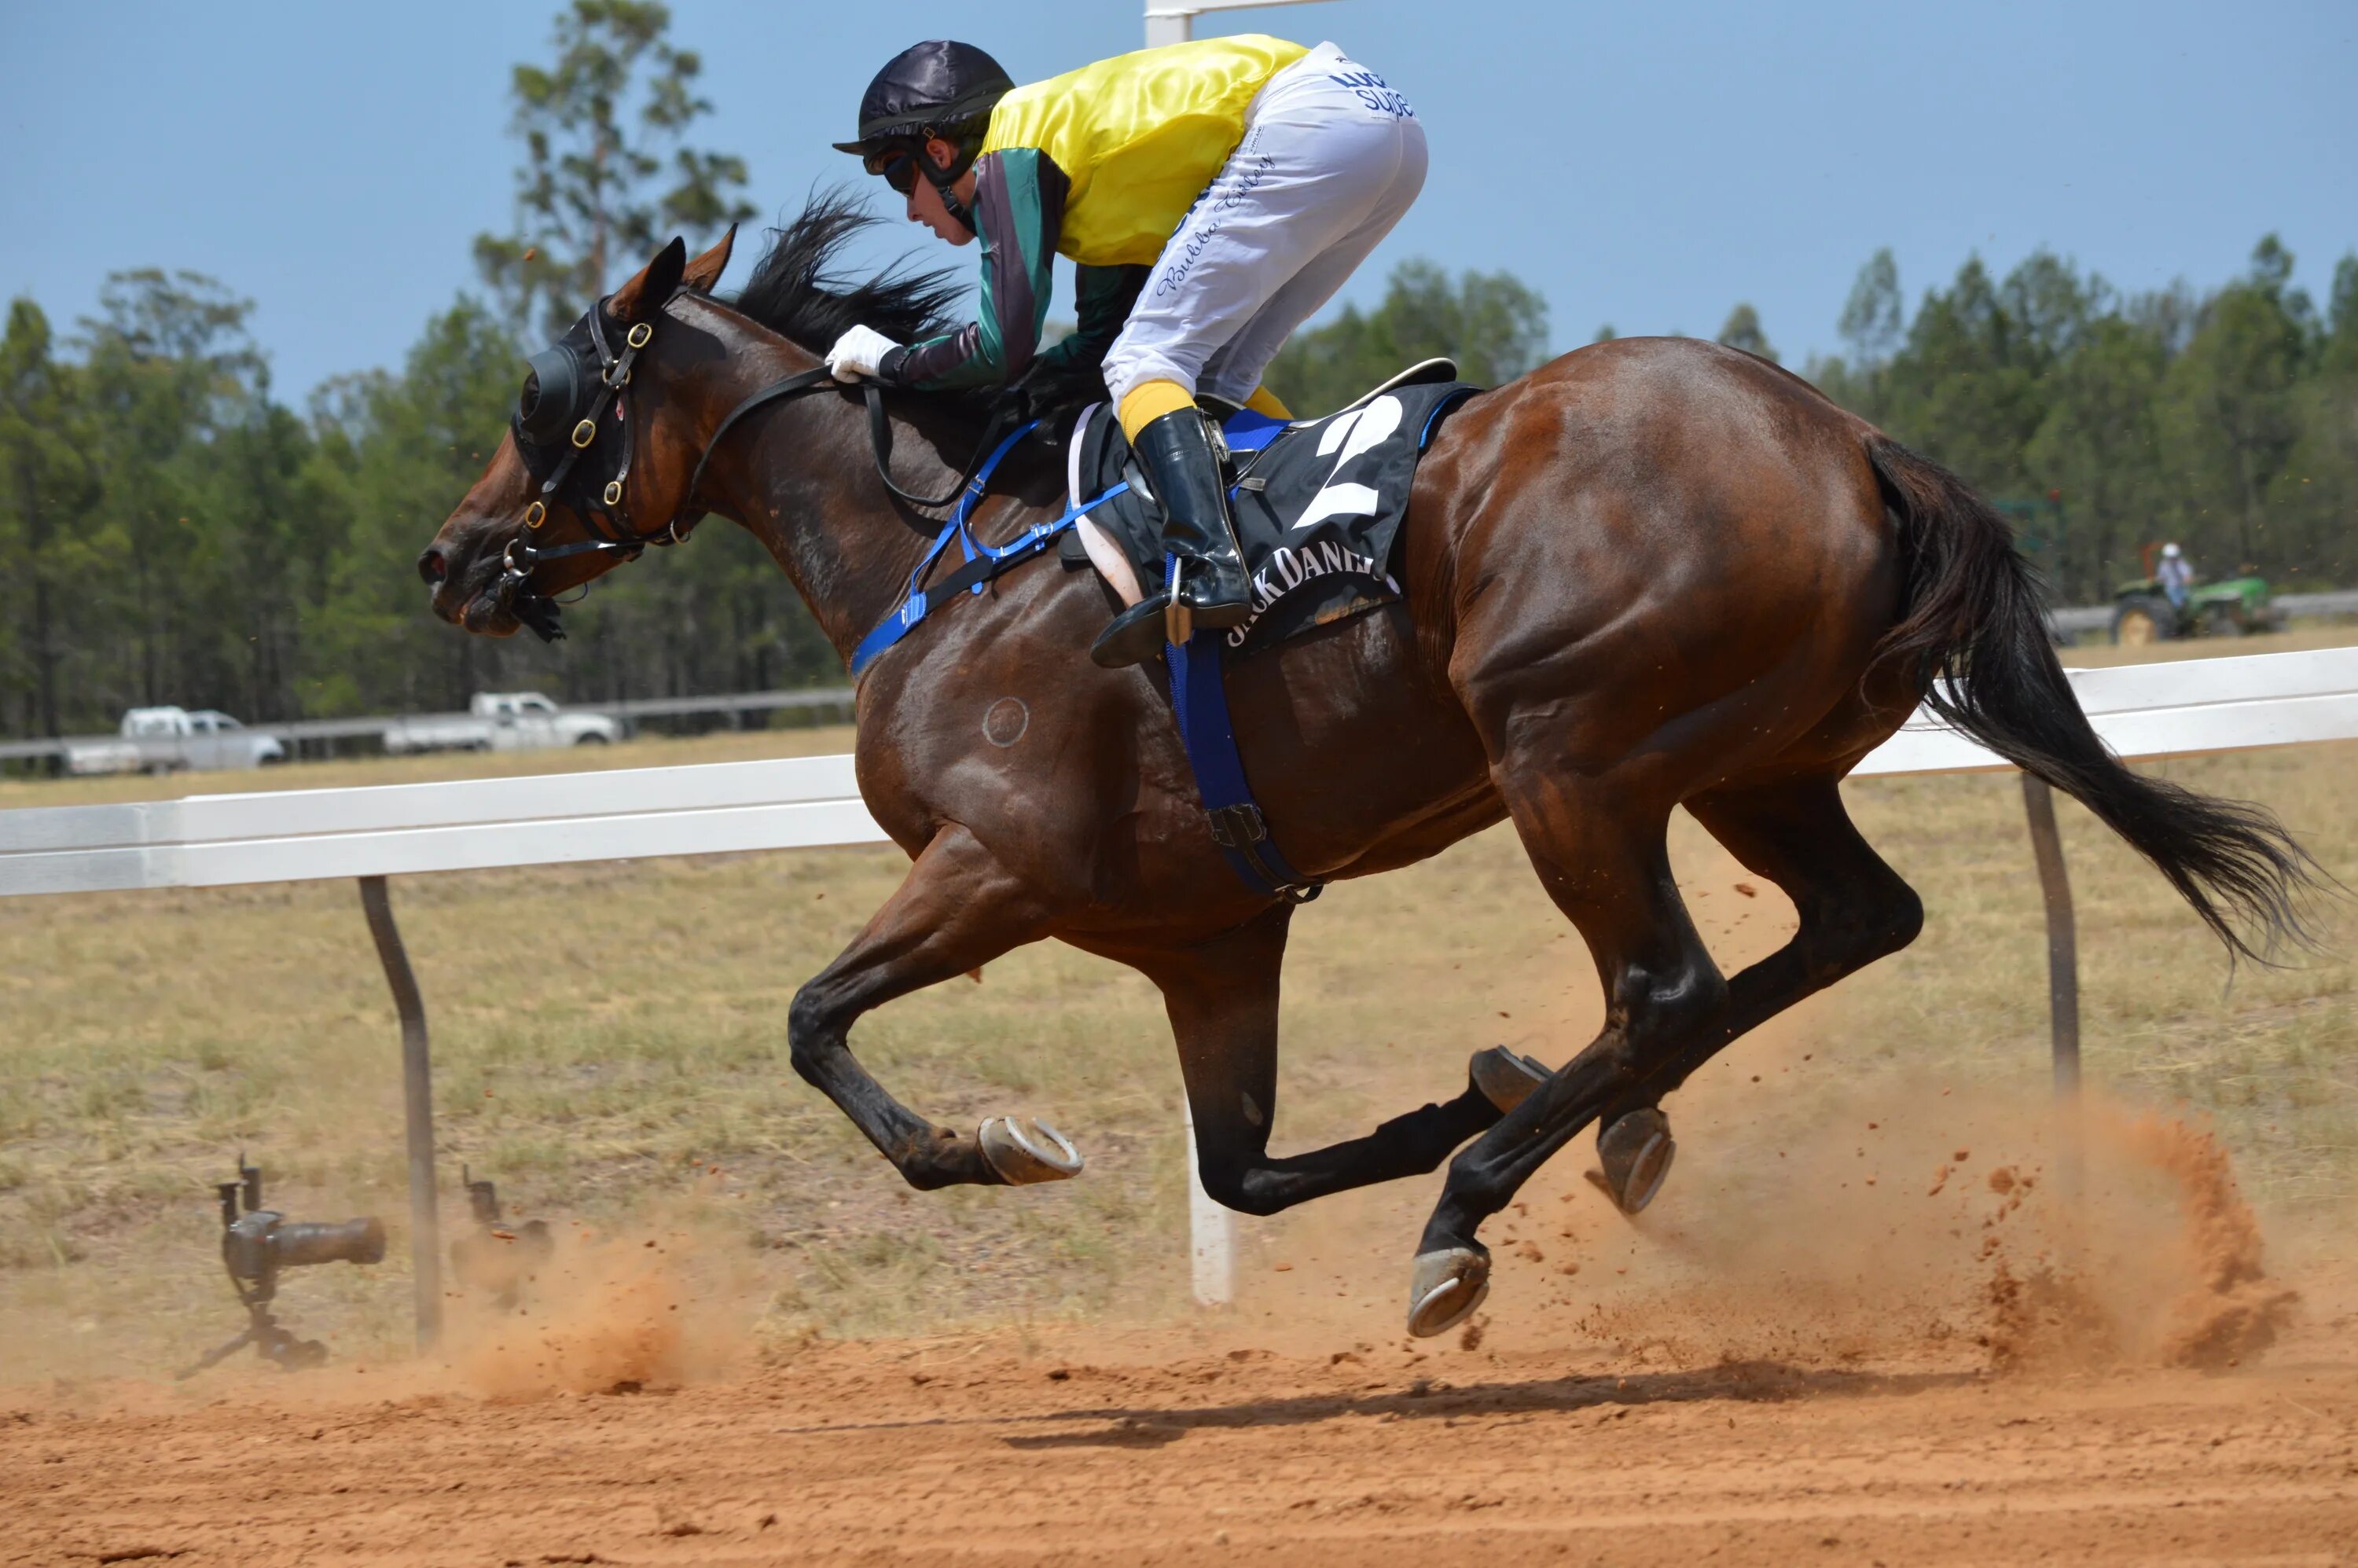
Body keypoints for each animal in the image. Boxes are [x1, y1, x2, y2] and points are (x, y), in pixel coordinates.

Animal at [415, 201, 2311, 1339]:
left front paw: (999, 1145)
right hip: (1751, 765)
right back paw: (1591, 1135)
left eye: (544, 401)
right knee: (1844, 926)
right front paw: (1466, 1095)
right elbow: (1242, 1164)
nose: (449, 560)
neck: (947, 565)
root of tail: (1851, 439)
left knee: (1669, 980)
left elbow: (815, 1019)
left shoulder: (999, 864)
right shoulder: (1206, 934)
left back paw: (1478, 1209)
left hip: (1562, 748)